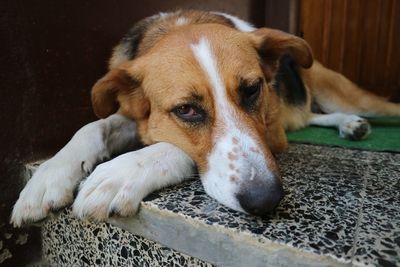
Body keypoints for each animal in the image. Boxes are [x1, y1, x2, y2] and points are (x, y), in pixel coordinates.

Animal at [10, 11, 400, 228]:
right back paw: (349, 124)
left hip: (350, 95)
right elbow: (93, 127)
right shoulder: (131, 116)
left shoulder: (273, 134)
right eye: (186, 110)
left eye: (252, 89)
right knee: (313, 117)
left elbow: (172, 148)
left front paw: (120, 173)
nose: (266, 200)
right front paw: (49, 175)